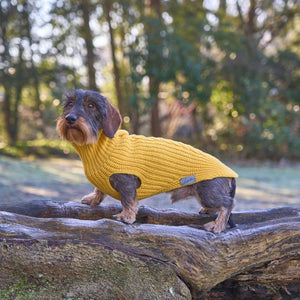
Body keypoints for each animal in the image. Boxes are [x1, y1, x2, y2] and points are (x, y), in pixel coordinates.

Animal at [56, 88, 239, 233]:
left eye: (91, 105)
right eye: (70, 103)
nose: (70, 118)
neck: (102, 147)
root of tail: (230, 173)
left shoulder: (127, 182)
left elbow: (129, 201)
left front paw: (126, 216)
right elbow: (99, 190)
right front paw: (93, 199)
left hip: (207, 192)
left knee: (228, 204)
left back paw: (217, 225)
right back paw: (208, 211)